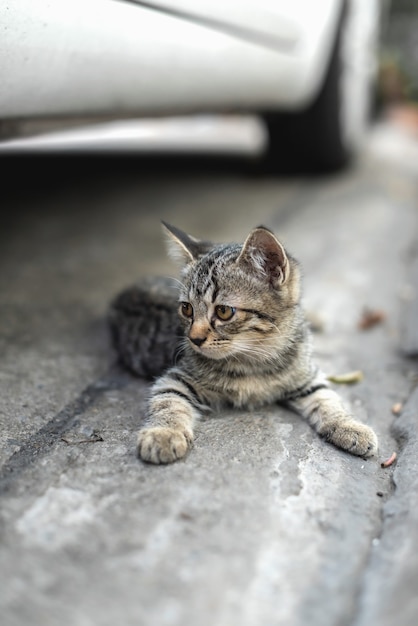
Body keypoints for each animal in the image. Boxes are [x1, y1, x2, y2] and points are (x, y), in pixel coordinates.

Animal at [109, 222, 378, 460]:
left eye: (223, 312)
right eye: (186, 309)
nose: (194, 339)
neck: (255, 358)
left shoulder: (306, 377)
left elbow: (328, 399)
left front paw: (351, 427)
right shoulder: (176, 378)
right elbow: (168, 403)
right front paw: (163, 434)